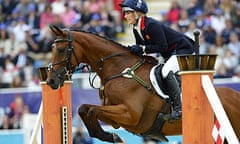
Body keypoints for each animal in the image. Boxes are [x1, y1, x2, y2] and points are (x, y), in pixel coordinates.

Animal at [46, 25, 240, 142]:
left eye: (61, 50)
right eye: (52, 49)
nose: (51, 81)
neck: (120, 70)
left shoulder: (130, 114)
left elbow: (92, 110)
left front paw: (114, 138)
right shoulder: (117, 117)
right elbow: (84, 109)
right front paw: (110, 136)